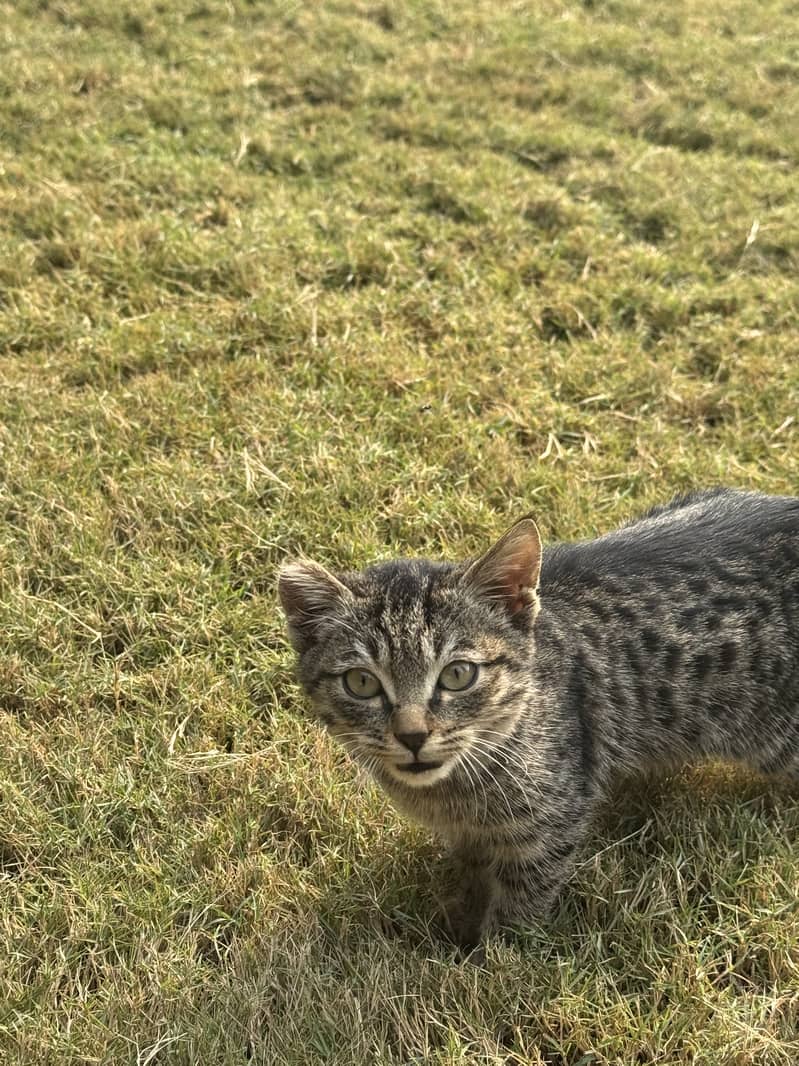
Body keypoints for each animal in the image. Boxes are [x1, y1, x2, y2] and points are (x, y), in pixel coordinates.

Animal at [276, 490, 799, 950]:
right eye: (362, 682)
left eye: (458, 674)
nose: (412, 735)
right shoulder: (470, 838)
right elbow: (470, 877)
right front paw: (458, 925)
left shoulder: (550, 828)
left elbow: (520, 906)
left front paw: (496, 959)